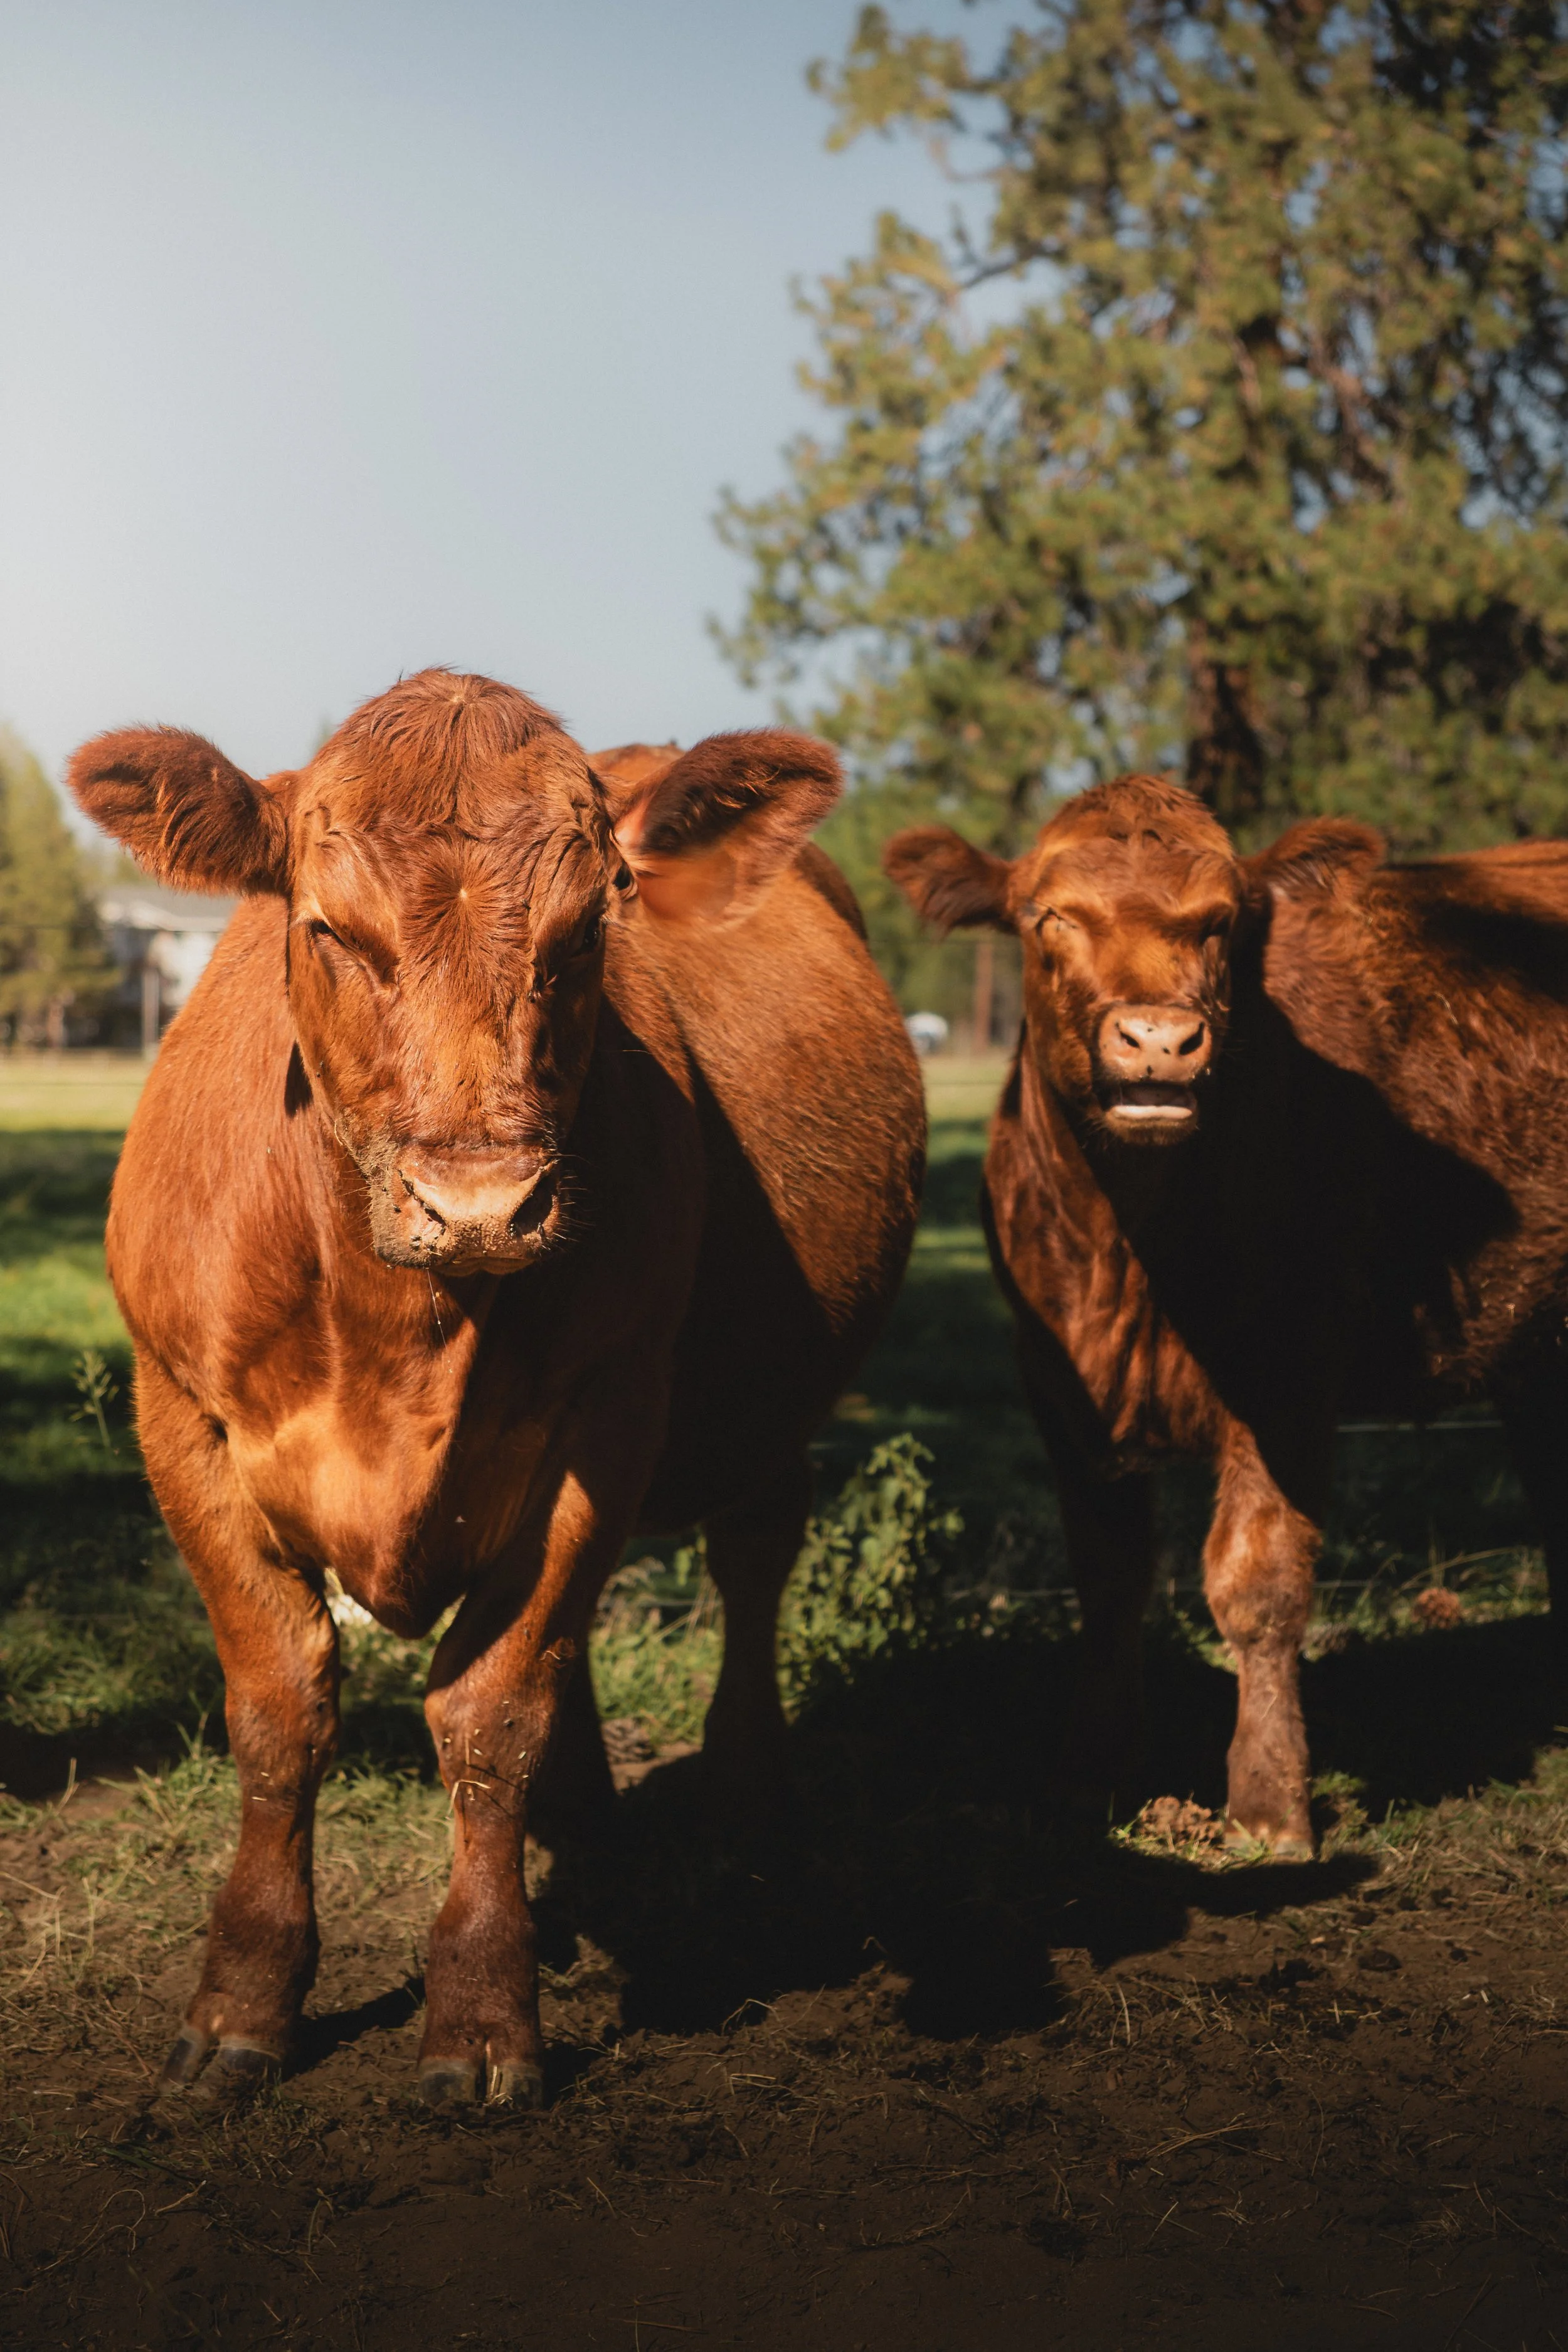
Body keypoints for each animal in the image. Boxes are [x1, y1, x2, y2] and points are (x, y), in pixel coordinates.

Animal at [69, 670, 924, 2108]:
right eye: (326, 928)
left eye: (586, 936)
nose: (480, 1205)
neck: (393, 1330)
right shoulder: (180, 1417)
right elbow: (279, 1707)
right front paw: (243, 2000)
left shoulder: (607, 1415)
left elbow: (490, 1711)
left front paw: (478, 2010)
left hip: (763, 1413)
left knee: (753, 1550)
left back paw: (744, 1798)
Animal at [886, 776, 1568, 1858]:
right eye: (1049, 915)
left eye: (1223, 921)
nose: (1158, 1041)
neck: (1128, 1255)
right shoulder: (1052, 1375)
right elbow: (1111, 1578)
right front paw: (1089, 1775)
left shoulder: (1285, 1370)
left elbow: (1257, 1582)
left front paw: (1268, 1804)